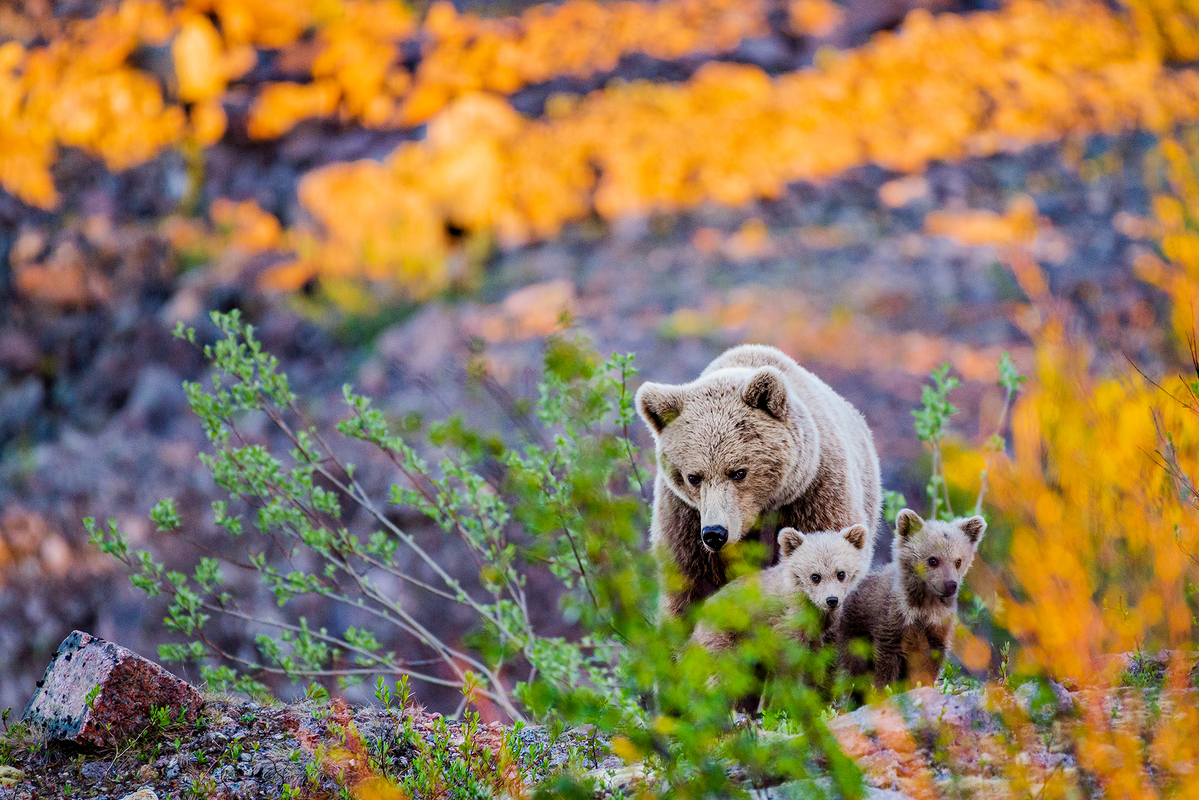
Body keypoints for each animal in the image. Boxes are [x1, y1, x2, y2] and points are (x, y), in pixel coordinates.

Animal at [635, 344, 882, 619]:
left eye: (738, 472)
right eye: (693, 477)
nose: (715, 534)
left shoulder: (814, 496)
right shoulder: (685, 521)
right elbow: (690, 590)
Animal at [834, 509, 987, 694]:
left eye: (958, 561)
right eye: (933, 560)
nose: (951, 585)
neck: (923, 607)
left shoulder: (938, 625)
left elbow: (930, 662)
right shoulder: (892, 621)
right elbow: (885, 663)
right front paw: (882, 690)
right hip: (854, 630)